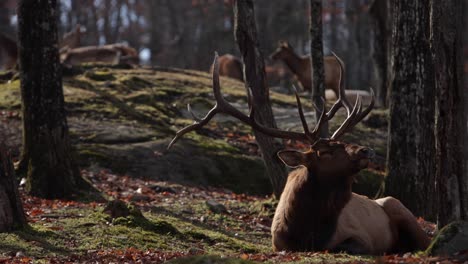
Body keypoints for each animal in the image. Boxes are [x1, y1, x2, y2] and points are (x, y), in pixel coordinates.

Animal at [169, 53, 432, 254]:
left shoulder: (360, 236)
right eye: (324, 151)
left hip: (399, 207)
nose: (366, 150)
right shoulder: (279, 243)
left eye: (343, 141)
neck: (306, 228)